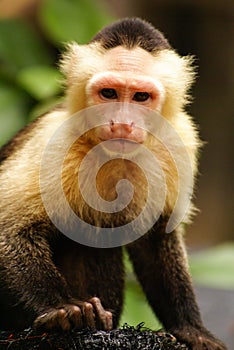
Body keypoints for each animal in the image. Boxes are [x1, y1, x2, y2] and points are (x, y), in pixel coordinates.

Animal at [0, 17, 227, 348]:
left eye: (141, 97)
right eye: (108, 93)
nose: (122, 122)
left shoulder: (179, 140)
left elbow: (158, 236)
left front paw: (191, 329)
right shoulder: (53, 138)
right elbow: (10, 229)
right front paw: (62, 308)